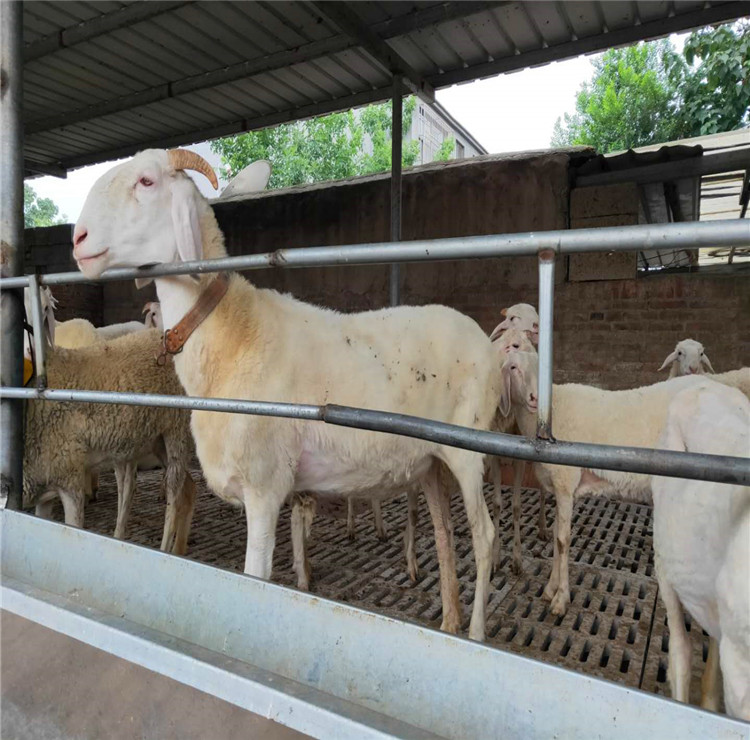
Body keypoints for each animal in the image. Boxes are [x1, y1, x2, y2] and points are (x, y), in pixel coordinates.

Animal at [73, 150, 506, 640]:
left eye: (146, 181)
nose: (78, 239)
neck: (234, 333)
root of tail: (481, 336)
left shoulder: (264, 487)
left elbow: (255, 575)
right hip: (431, 461)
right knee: (445, 531)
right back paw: (450, 621)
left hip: (469, 449)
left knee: (484, 536)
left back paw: (475, 633)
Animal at [500, 350, 750, 616]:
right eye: (513, 367)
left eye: (540, 365)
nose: (534, 397)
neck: (548, 414)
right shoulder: (561, 489)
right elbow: (558, 538)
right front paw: (550, 589)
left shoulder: (565, 483)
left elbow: (562, 541)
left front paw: (560, 599)